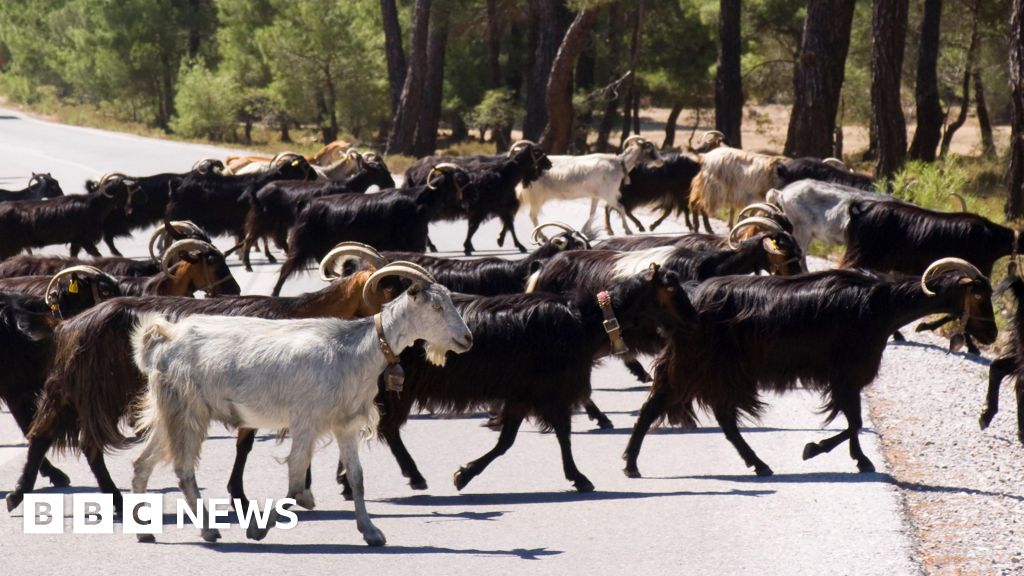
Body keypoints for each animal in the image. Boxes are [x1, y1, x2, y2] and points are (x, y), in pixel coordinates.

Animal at [129, 260, 475, 541]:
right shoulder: (305, 422)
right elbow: (296, 483)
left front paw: (372, 532)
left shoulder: (345, 424)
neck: (354, 350)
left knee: (142, 462)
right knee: (183, 467)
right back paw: (208, 530)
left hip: (170, 412)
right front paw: (258, 529)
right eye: (436, 307)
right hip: (187, 410)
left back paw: (144, 532)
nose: (467, 339)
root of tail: (163, 338)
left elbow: (357, 477)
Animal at [268, 162, 468, 293]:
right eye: (457, 179)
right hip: (303, 244)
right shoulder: (411, 244)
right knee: (286, 269)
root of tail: (306, 205)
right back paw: (274, 293)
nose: (462, 200)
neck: (419, 202)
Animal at [403, 140, 557, 252]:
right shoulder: (484, 208)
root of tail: (411, 171)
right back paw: (431, 246)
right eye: (537, 152)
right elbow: (476, 226)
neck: (504, 174)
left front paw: (500, 241)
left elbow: (508, 224)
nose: (550, 164)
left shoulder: (499, 207)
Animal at [516, 136, 659, 235]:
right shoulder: (609, 195)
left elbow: (593, 213)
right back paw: (542, 237)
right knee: (533, 216)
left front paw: (586, 230)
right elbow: (621, 208)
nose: (660, 160)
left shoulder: (596, 196)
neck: (618, 164)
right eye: (649, 148)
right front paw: (628, 230)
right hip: (537, 197)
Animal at [618, 259, 995, 475]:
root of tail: (690, 302)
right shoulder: (846, 373)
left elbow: (854, 421)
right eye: (978, 294)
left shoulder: (846, 379)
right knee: (656, 407)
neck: (882, 305)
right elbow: (853, 421)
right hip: (698, 366)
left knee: (720, 419)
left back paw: (759, 465)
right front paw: (815, 449)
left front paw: (860, 460)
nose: (991, 333)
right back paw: (631, 465)